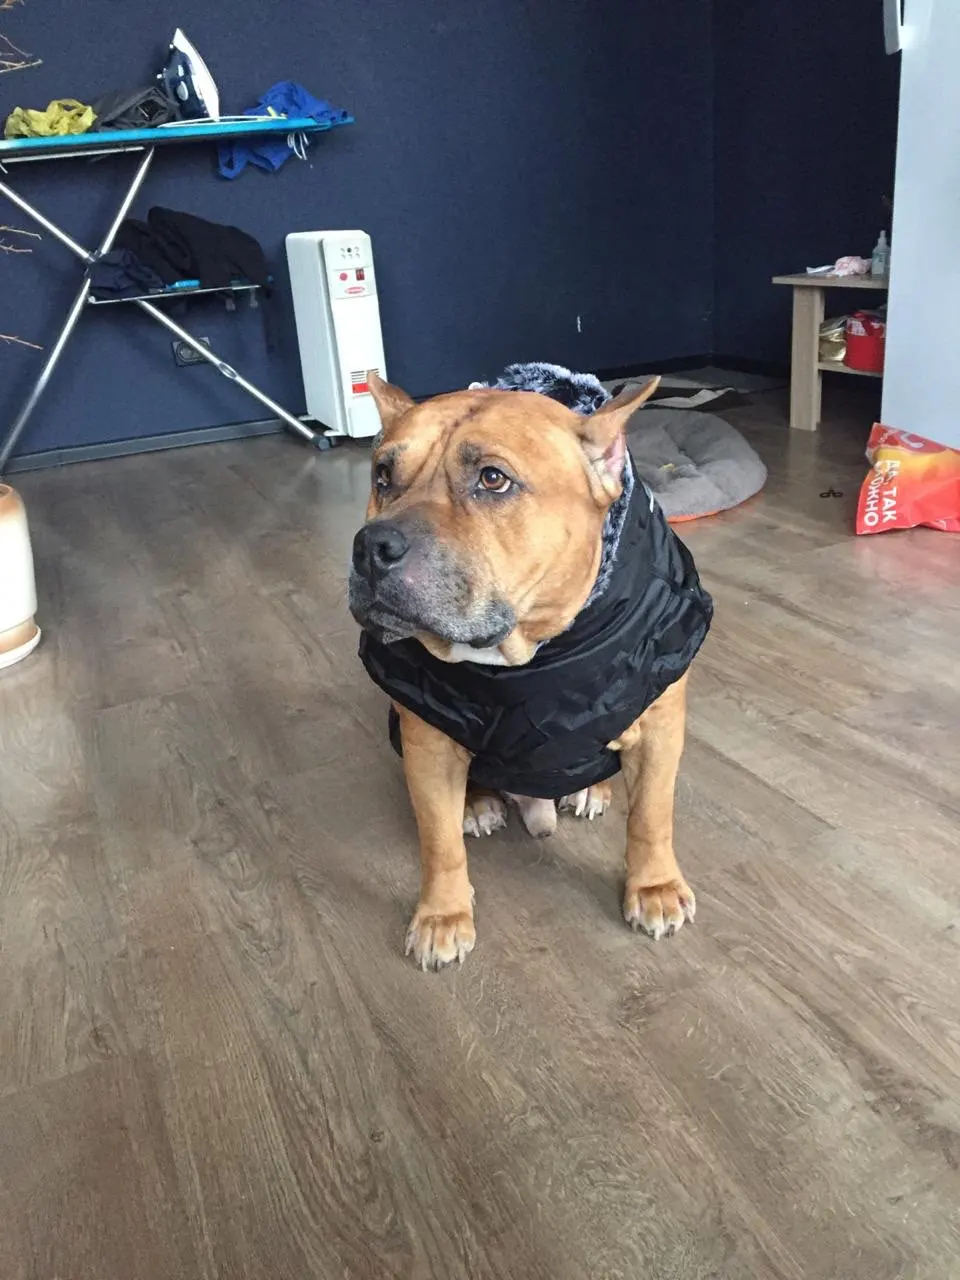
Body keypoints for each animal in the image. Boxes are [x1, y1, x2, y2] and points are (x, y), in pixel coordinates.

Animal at [349, 369, 712, 969]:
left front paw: (654, 886)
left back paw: (591, 791)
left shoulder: (660, 724)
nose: (372, 546)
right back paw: (477, 803)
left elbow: (651, 816)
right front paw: (442, 915)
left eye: (493, 480)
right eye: (383, 476)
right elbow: (438, 842)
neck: (522, 660)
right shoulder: (426, 738)